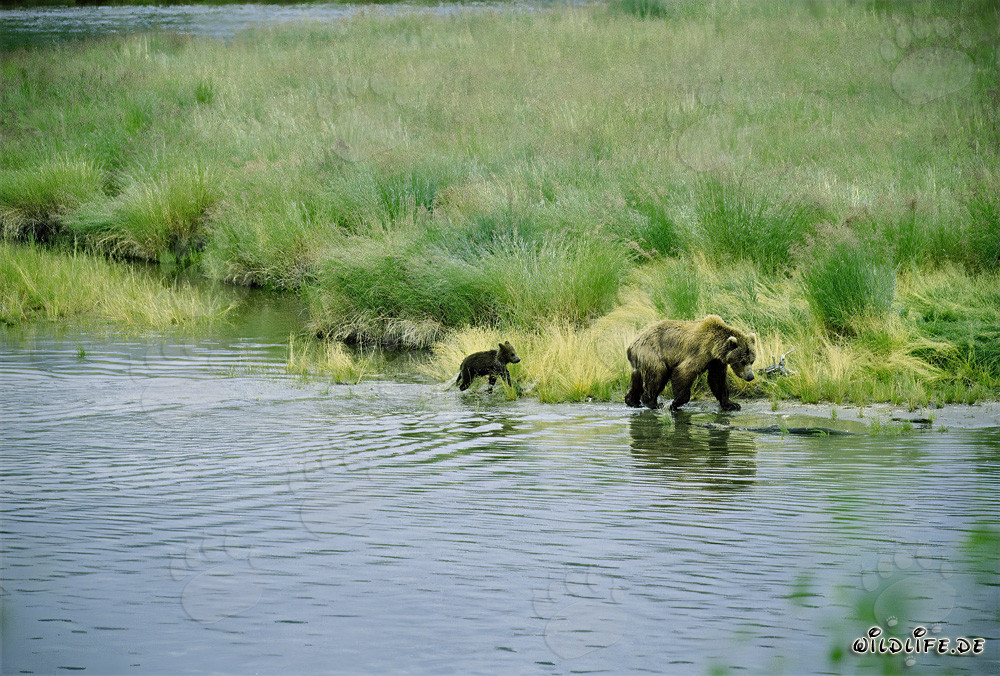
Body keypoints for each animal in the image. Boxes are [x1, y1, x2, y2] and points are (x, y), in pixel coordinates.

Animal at [624, 315, 756, 411]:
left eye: (752, 360)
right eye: (742, 361)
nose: (750, 376)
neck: (713, 348)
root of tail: (631, 345)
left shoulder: (716, 361)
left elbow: (717, 379)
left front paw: (731, 404)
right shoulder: (700, 352)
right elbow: (683, 372)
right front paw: (675, 403)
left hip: (641, 360)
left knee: (637, 380)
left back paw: (632, 401)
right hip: (653, 354)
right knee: (657, 376)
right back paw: (653, 403)